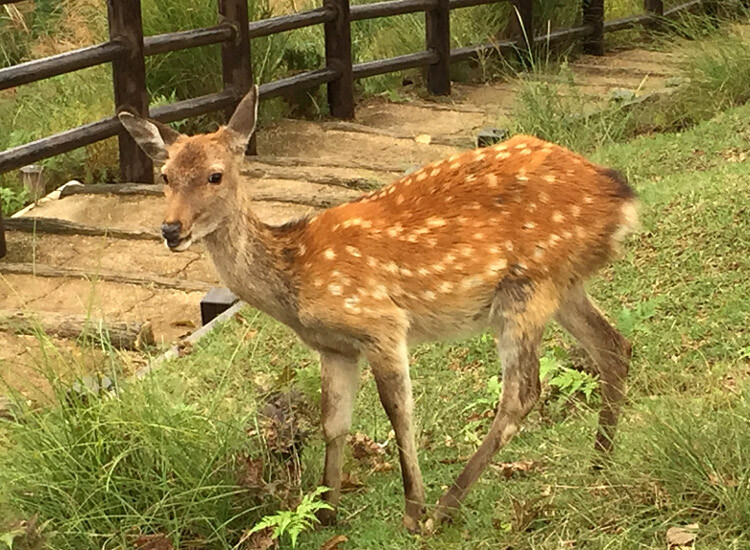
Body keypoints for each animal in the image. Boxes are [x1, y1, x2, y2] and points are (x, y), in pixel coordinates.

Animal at [119, 87, 640, 536]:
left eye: (215, 174)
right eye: (164, 176)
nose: (170, 229)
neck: (295, 278)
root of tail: (622, 197)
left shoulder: (380, 323)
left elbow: (398, 412)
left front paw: (411, 511)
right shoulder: (333, 347)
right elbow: (333, 422)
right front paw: (326, 510)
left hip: (527, 288)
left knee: (522, 392)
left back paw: (445, 508)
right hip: (562, 286)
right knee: (614, 346)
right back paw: (600, 464)